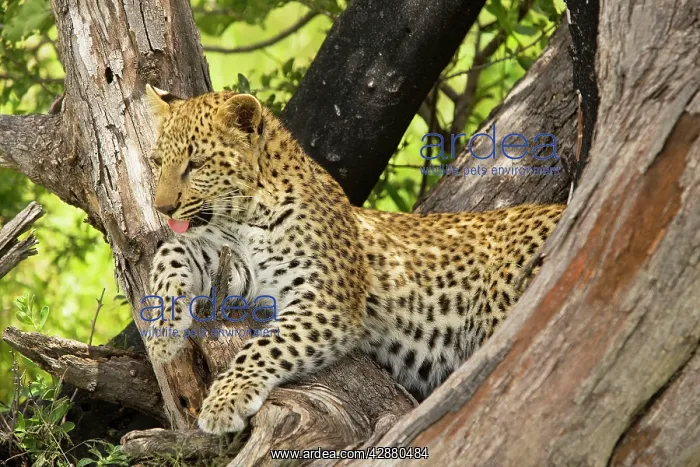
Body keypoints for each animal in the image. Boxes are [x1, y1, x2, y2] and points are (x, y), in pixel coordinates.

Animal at [141, 84, 566, 435]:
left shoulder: (328, 300)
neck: (245, 217)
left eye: (196, 164)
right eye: (157, 162)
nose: (162, 207)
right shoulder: (231, 263)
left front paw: (224, 400)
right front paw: (161, 333)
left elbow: (267, 345)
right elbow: (170, 252)